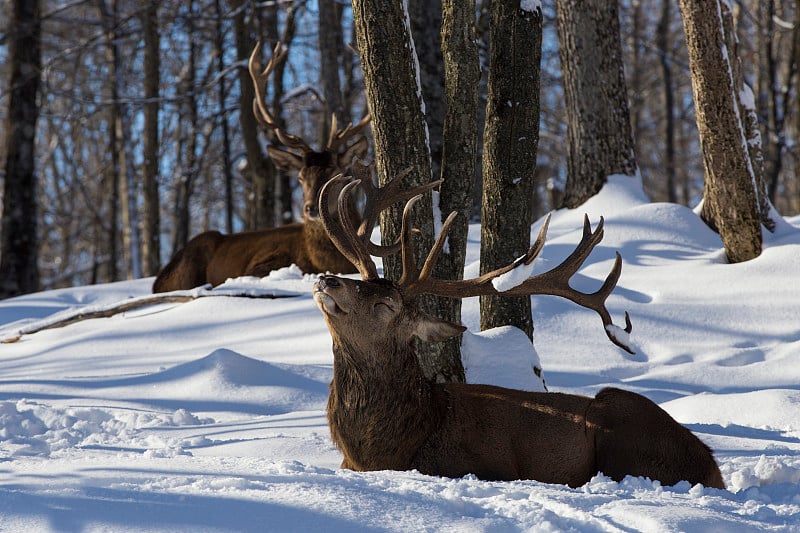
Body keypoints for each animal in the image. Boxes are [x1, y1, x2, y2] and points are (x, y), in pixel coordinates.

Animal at [152, 43, 370, 294]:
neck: (322, 260)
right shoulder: (262, 263)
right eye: (300, 177)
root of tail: (158, 280)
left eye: (335, 173)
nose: (311, 208)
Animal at [312, 164, 724, 488]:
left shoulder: (478, 465)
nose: (327, 280)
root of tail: (712, 466)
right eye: (360, 281)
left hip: (619, 421)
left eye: (386, 304)